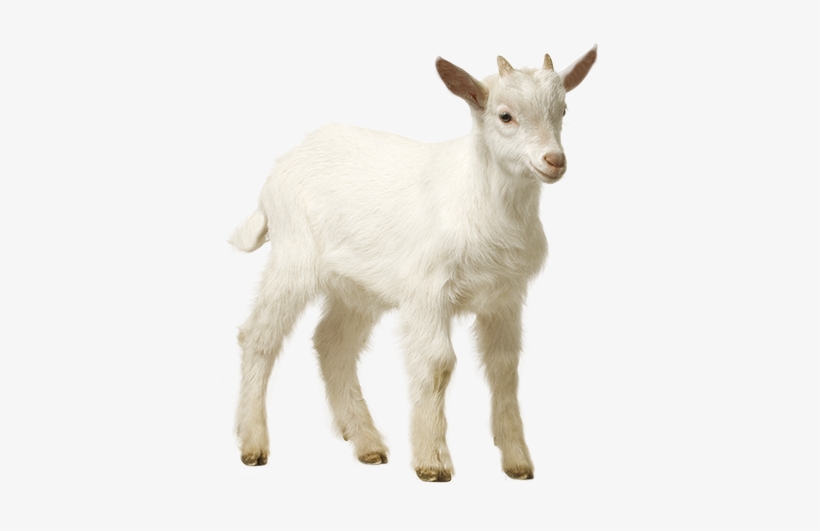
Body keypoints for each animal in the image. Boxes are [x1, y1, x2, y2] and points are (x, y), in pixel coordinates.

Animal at [231, 46, 597, 482]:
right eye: (505, 115)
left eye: (563, 109)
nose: (554, 160)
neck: (478, 197)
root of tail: (277, 173)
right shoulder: (427, 291)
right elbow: (438, 363)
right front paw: (432, 462)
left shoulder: (505, 297)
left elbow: (505, 368)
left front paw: (517, 461)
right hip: (293, 256)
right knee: (258, 336)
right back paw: (253, 442)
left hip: (358, 286)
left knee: (332, 343)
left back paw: (367, 443)